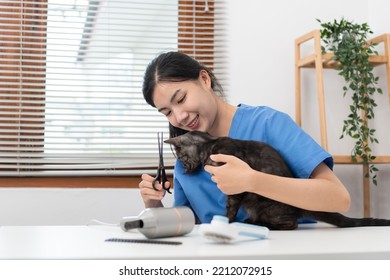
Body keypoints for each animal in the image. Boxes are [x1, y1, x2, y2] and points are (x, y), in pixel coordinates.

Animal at [165, 131, 390, 230]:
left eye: (182, 157)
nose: (183, 169)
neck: (211, 145)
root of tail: (299, 207)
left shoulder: (235, 185)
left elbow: (230, 207)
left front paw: (225, 221)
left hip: (266, 205)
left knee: (291, 224)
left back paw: (258, 223)